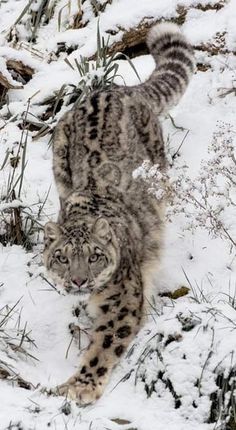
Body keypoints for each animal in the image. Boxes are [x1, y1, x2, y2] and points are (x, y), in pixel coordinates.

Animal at [43, 22, 195, 406]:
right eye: (62, 258)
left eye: (95, 256)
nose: (78, 281)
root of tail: (116, 89)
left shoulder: (122, 301)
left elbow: (104, 345)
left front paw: (80, 386)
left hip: (158, 169)